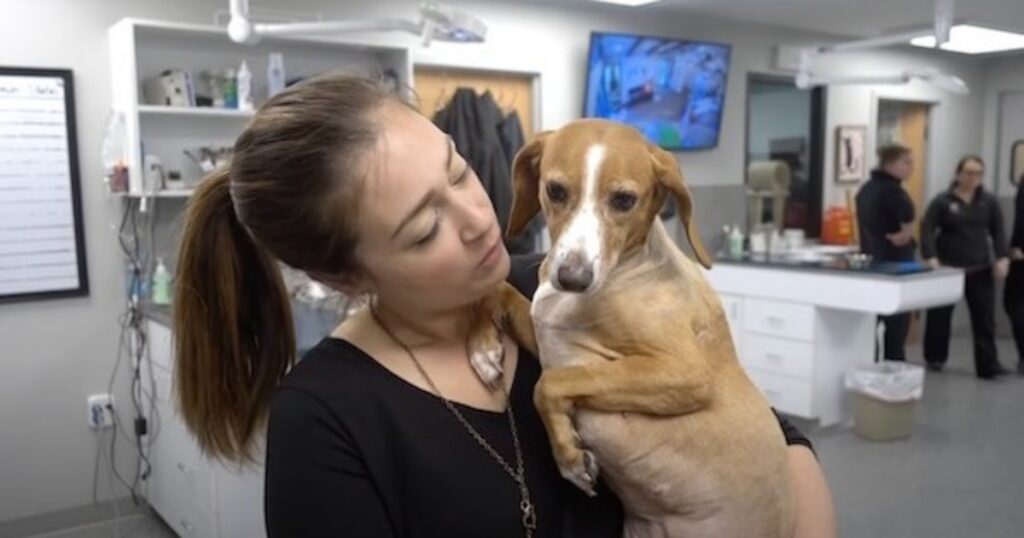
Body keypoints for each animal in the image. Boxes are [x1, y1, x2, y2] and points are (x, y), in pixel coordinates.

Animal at [489, 119, 798, 536]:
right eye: (555, 190)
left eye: (623, 200)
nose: (571, 278)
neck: (626, 268)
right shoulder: (548, 336)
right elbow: (501, 292)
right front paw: (482, 346)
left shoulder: (683, 373)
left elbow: (549, 385)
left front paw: (568, 457)